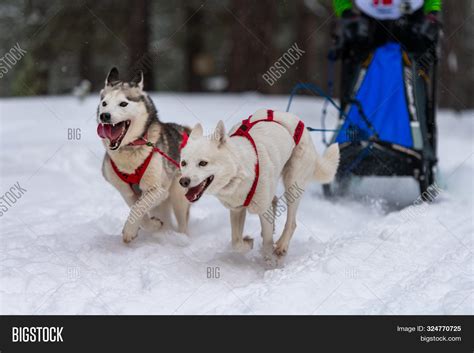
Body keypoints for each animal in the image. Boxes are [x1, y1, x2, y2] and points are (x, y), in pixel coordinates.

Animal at [97, 66, 190, 242]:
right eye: (104, 103)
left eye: (123, 103)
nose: (104, 115)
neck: (129, 149)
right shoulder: (126, 192)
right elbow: (138, 209)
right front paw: (150, 226)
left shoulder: (158, 190)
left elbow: (138, 207)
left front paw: (129, 230)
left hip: (178, 195)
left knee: (183, 221)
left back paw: (181, 237)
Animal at [177, 108, 336, 260]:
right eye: (183, 163)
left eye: (203, 163)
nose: (183, 181)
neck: (240, 171)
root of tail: (300, 123)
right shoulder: (237, 210)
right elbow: (236, 243)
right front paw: (248, 243)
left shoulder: (263, 210)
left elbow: (267, 244)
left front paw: (270, 262)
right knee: (274, 201)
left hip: (293, 184)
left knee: (291, 223)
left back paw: (281, 246)